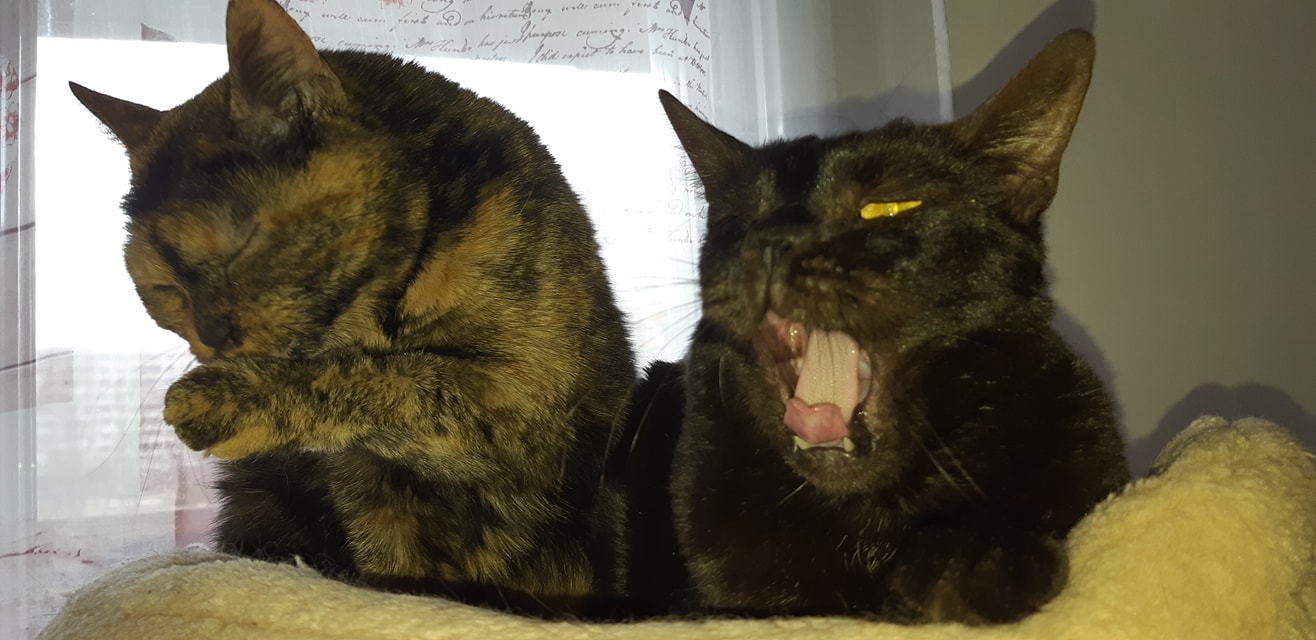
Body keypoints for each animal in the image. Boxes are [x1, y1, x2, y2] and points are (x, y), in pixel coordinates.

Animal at [69, 0, 636, 615]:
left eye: (240, 244)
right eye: (162, 286)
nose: (213, 335)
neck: (377, 318)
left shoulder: (525, 398)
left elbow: (402, 384)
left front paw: (219, 400)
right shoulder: (359, 477)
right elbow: (389, 554)